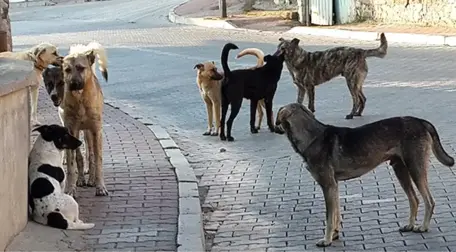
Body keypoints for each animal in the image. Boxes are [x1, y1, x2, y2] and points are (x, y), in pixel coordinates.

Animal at [61, 41, 108, 197]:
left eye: (81, 68)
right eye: (67, 70)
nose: (73, 84)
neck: (80, 99)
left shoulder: (96, 130)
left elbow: (97, 160)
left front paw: (100, 186)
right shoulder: (71, 130)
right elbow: (72, 163)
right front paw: (70, 188)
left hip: (89, 132)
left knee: (91, 154)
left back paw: (91, 179)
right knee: (79, 156)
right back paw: (81, 179)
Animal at [272, 103, 454, 248]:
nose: (273, 127)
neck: (312, 137)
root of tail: (421, 121)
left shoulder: (327, 185)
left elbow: (329, 217)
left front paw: (327, 240)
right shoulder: (334, 186)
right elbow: (336, 213)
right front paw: (335, 234)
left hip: (415, 168)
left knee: (429, 200)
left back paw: (423, 227)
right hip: (400, 170)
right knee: (414, 199)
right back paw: (409, 225)